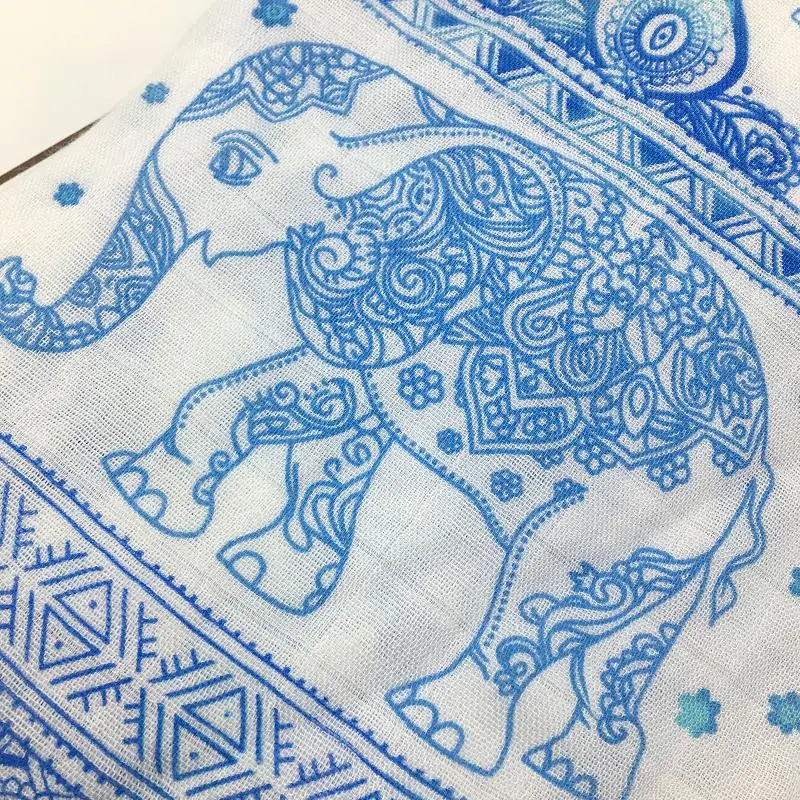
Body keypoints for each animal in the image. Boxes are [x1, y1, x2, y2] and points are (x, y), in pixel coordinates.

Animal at [0, 41, 773, 800]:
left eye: (232, 165)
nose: (18, 274)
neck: (416, 116)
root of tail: (760, 462)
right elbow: (323, 402)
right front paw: (225, 556)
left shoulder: (431, 287)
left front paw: (156, 508)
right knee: (619, 644)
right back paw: (569, 772)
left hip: (645, 501)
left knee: (554, 590)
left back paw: (440, 731)